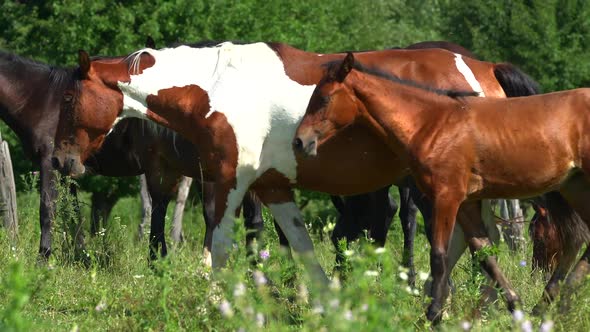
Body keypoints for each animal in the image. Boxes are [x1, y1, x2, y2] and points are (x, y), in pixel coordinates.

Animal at [53, 40, 544, 300]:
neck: (216, 87)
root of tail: (482, 68)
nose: (61, 161)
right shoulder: (272, 187)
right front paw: (323, 300)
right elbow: (300, 244)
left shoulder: (229, 181)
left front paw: (216, 299)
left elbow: (221, 242)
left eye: (70, 99)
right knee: (478, 237)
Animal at [294, 52, 590, 322]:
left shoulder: (445, 198)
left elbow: (438, 255)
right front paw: (514, 305)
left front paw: (434, 314)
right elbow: (484, 252)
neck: (431, 123)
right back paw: (552, 305)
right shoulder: (466, 203)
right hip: (573, 188)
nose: (299, 141)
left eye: (324, 99)